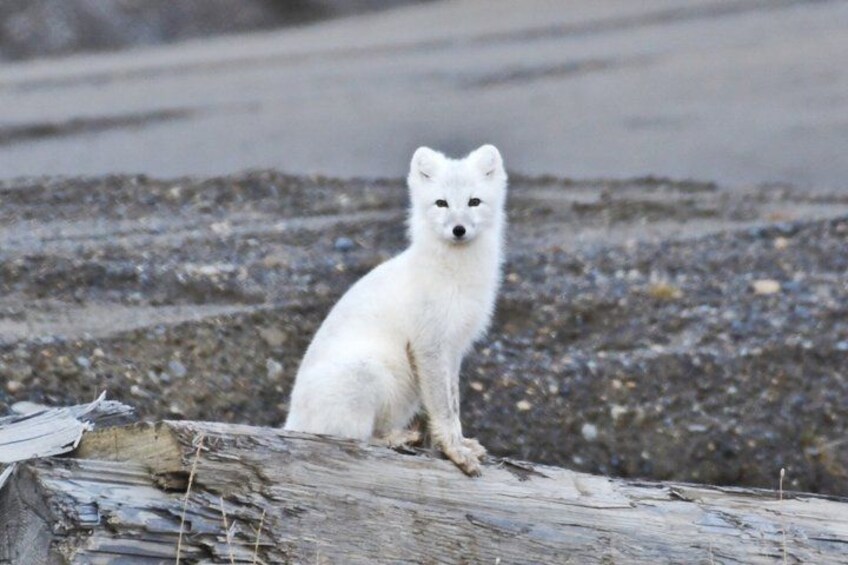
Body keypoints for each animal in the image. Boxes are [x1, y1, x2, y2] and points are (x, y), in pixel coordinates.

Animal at [283, 144, 507, 476]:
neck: (455, 275)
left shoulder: (454, 349)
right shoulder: (429, 345)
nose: (459, 229)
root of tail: (291, 421)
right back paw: (395, 438)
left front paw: (462, 443)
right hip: (367, 371)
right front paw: (455, 451)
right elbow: (443, 409)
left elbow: (453, 404)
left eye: (474, 201)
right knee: (353, 438)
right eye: (441, 203)